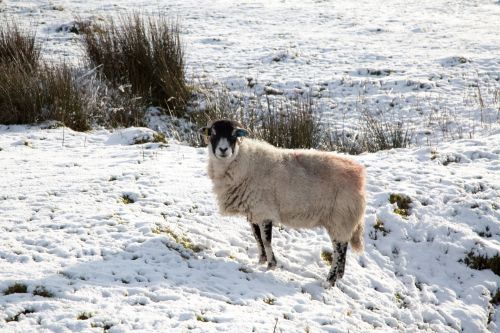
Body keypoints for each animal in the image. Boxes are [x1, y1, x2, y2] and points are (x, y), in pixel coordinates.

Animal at [200, 119, 368, 286]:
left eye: (234, 135)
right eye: (212, 133)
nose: (223, 150)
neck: (243, 161)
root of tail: (359, 174)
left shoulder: (264, 211)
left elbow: (266, 240)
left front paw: (271, 265)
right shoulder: (254, 211)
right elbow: (257, 237)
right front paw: (261, 261)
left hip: (340, 217)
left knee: (338, 250)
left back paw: (330, 280)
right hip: (340, 220)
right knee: (343, 246)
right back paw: (339, 275)